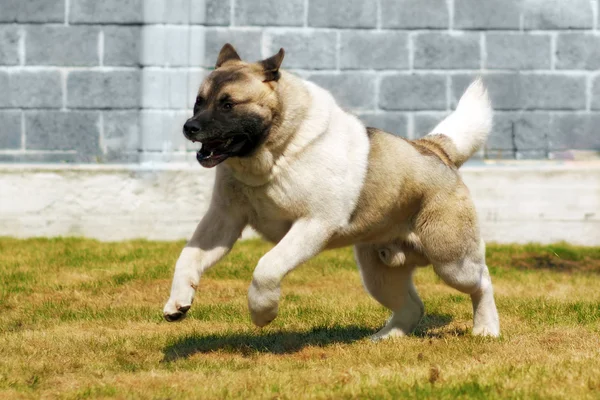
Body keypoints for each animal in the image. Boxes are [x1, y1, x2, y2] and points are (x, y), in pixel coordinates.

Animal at [162, 43, 500, 338]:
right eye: (199, 101)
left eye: (228, 104)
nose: (189, 127)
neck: (276, 154)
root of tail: (433, 149)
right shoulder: (223, 221)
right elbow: (187, 257)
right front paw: (177, 302)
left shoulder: (312, 225)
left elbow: (267, 266)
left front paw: (262, 312)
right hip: (379, 274)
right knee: (412, 307)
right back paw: (386, 337)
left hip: (451, 260)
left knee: (482, 281)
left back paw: (486, 329)